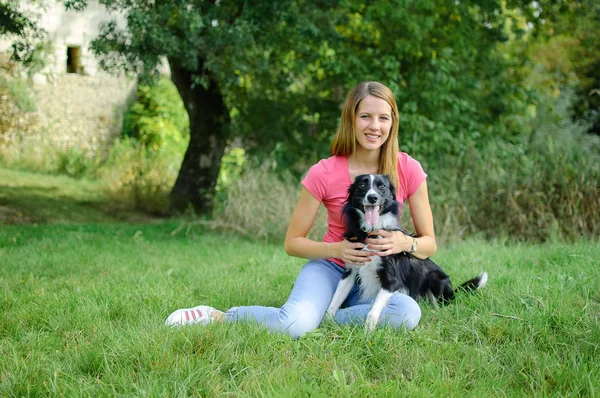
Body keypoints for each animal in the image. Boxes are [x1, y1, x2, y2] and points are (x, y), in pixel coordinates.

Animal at [324, 173, 488, 332]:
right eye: (362, 185)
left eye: (382, 186)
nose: (372, 198)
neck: (371, 231)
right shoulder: (350, 272)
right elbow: (333, 303)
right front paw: (327, 324)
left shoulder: (391, 281)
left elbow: (372, 311)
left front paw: (368, 332)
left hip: (435, 278)